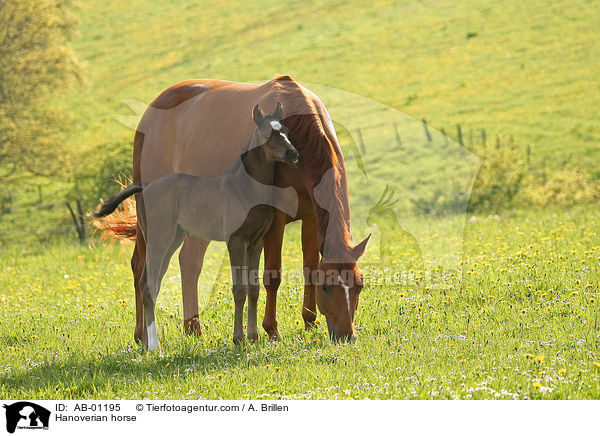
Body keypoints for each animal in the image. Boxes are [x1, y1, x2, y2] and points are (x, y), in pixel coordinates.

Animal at [95, 103, 300, 350]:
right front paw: (238, 339)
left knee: (154, 283)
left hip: (173, 239)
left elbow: (253, 288)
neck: (246, 189)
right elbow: (239, 289)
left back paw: (145, 344)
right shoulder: (236, 241)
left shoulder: (256, 242)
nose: (293, 154)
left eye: (287, 130)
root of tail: (146, 186)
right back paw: (155, 346)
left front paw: (253, 337)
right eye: (267, 134)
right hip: (159, 238)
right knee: (147, 284)